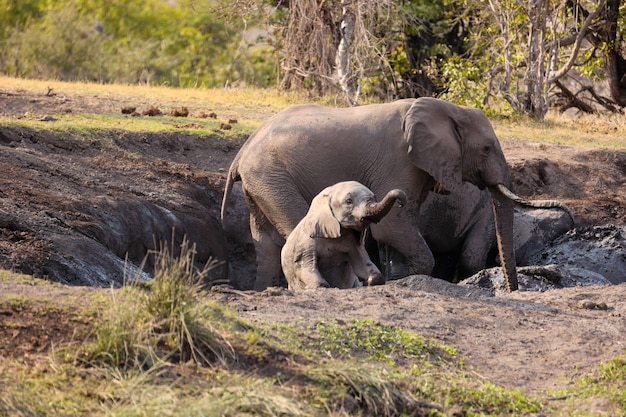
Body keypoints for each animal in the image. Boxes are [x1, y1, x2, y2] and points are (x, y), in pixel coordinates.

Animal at [280, 180, 408, 290]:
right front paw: (320, 285)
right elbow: (304, 265)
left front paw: (371, 281)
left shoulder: (352, 241)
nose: (401, 204)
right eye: (349, 201)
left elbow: (361, 262)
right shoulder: (307, 241)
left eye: (374, 197)